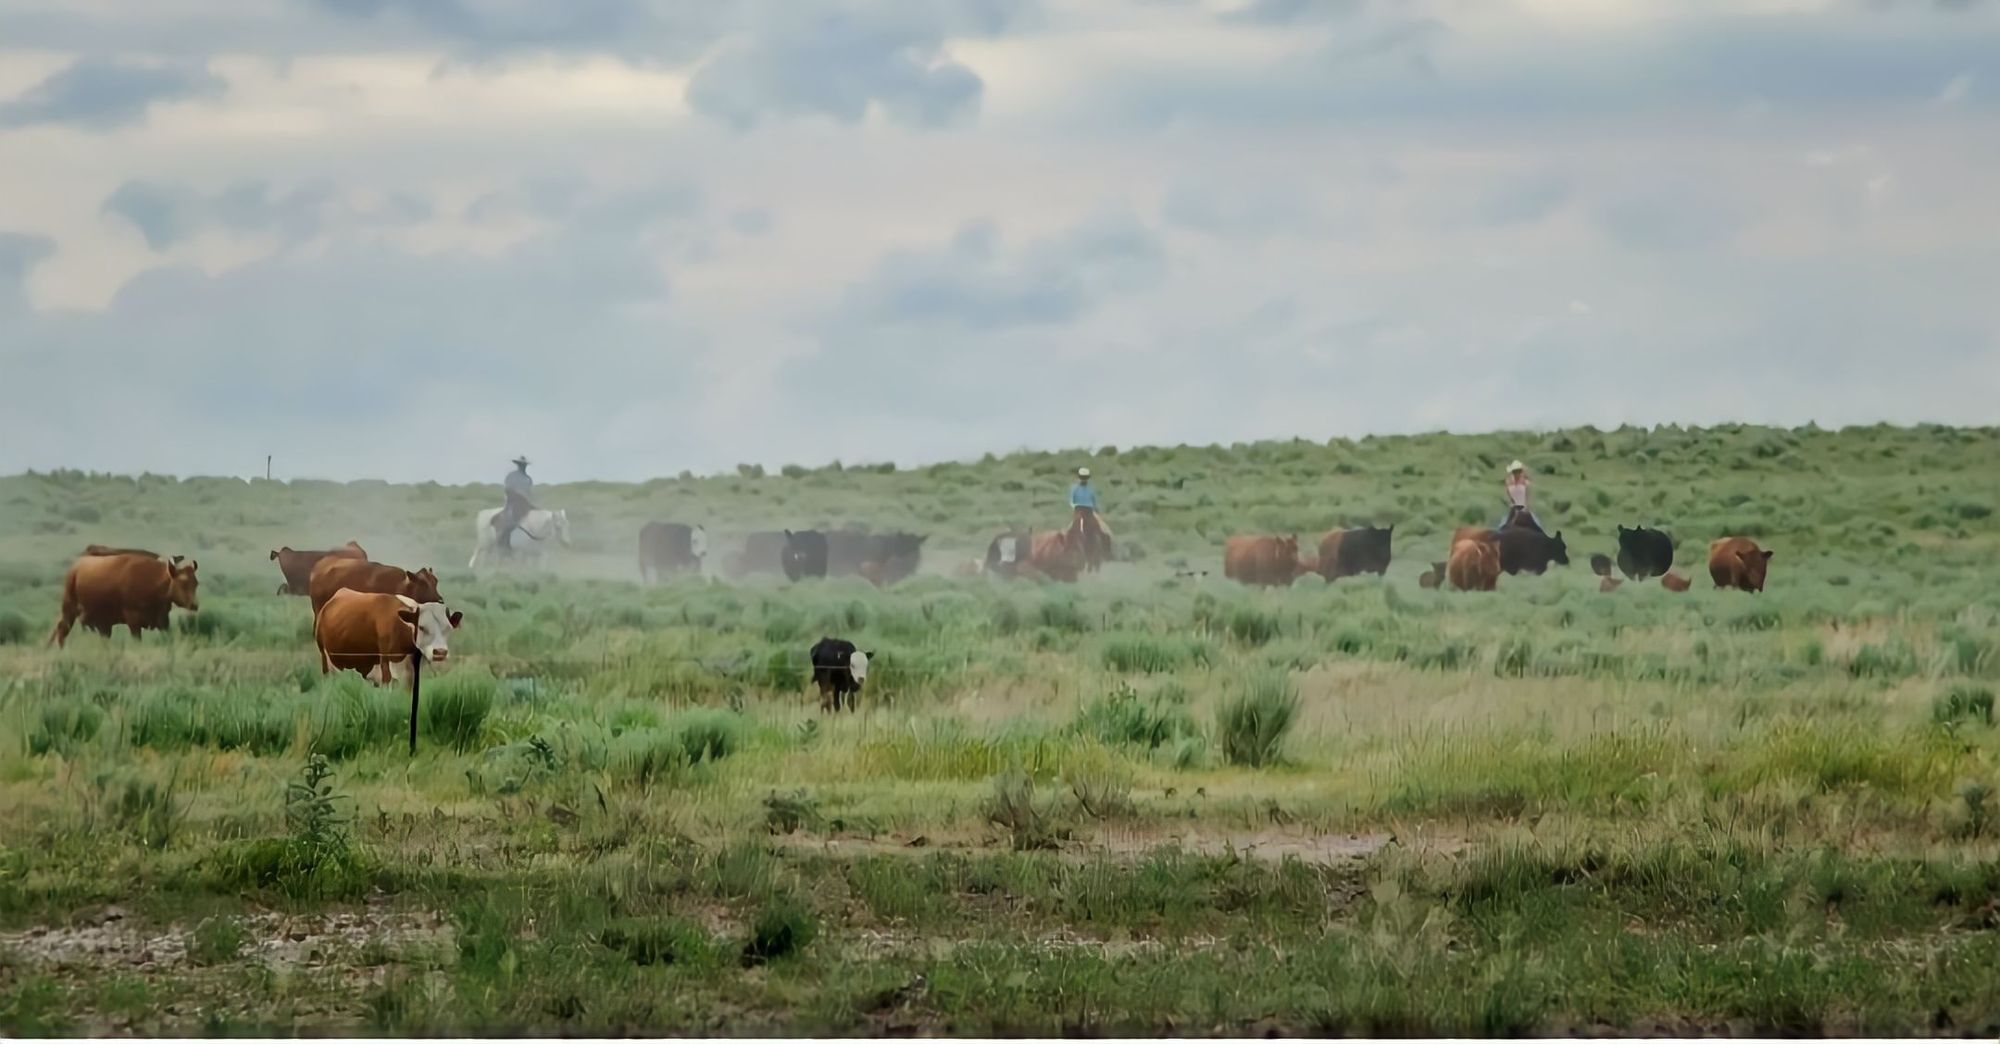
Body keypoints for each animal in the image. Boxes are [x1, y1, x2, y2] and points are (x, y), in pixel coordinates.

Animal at [50, 551, 199, 646]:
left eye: (196, 583)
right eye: (183, 582)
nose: (194, 605)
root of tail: (75, 568)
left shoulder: (163, 622)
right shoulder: (134, 622)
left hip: (103, 624)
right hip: (69, 609)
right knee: (62, 631)